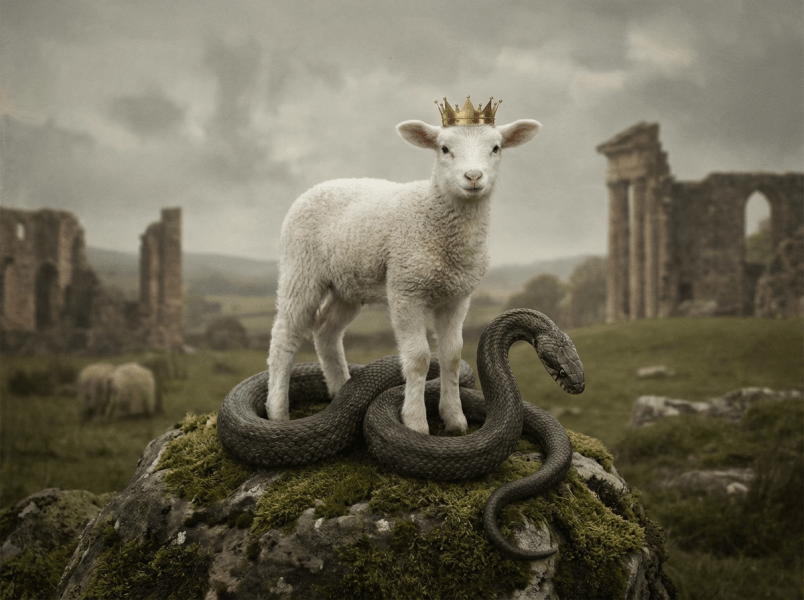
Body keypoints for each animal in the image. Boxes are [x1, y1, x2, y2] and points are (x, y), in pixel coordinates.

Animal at [267, 100, 541, 434]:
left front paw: (455, 419)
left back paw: (341, 391)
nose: (473, 176)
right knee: (285, 336)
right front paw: (415, 423)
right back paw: (277, 411)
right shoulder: (406, 289)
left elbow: (451, 355)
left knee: (326, 331)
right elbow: (419, 358)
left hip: (347, 284)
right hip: (301, 268)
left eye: (496, 148)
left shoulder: (457, 296)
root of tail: (322, 184)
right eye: (444, 148)